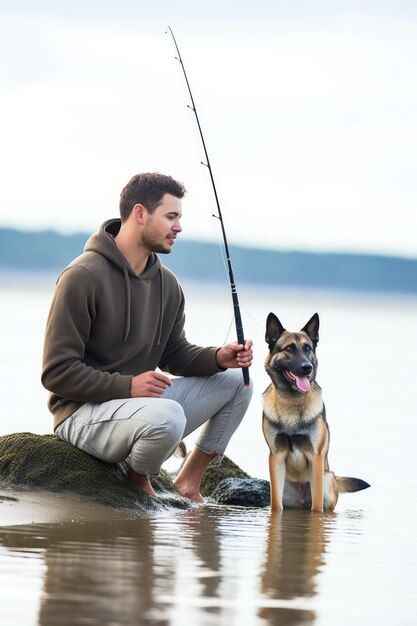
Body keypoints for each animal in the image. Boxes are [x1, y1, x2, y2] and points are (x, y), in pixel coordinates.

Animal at [262, 312, 368, 512]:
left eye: (307, 348)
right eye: (289, 349)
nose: (307, 367)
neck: (292, 402)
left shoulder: (316, 458)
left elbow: (317, 509)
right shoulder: (276, 458)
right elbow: (276, 506)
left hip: (327, 478)